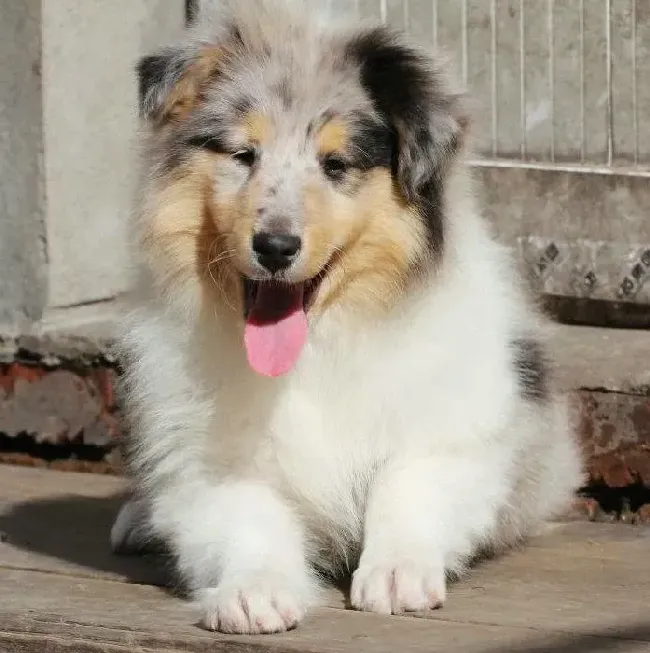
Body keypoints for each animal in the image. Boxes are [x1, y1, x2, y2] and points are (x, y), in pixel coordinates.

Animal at [109, 0, 580, 632]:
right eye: (243, 155)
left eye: (335, 165)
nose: (275, 247)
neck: (317, 346)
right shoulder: (209, 463)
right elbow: (247, 523)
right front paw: (254, 594)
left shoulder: (455, 435)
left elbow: (405, 487)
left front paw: (398, 575)